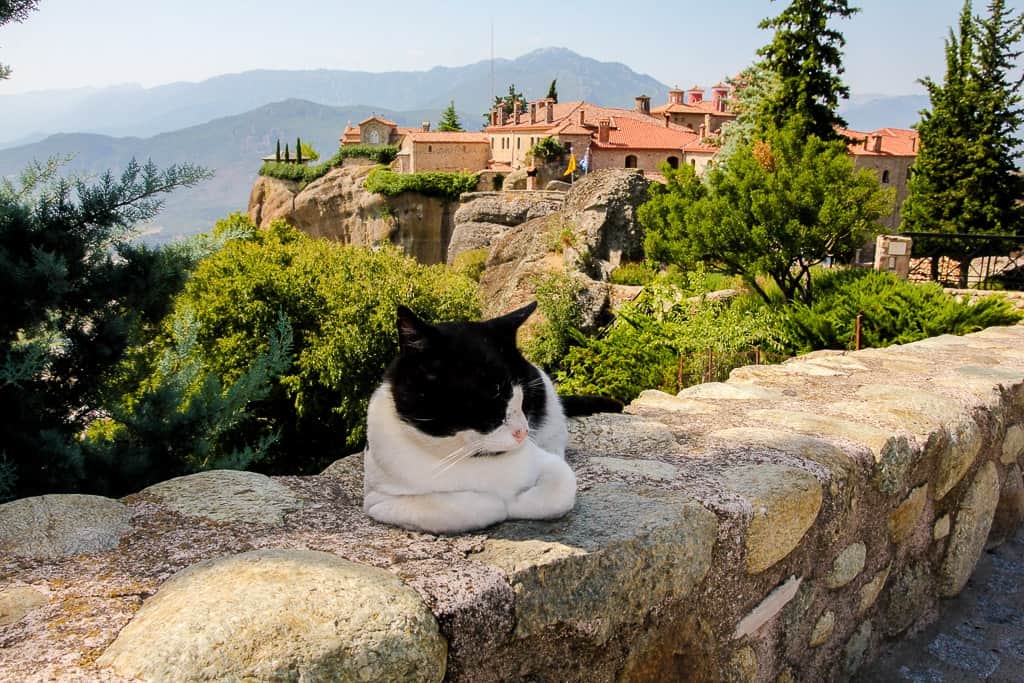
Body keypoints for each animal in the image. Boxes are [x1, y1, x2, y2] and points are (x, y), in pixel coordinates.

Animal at [364, 303, 610, 532]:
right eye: (492, 399)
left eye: (525, 399)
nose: (523, 432)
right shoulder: (377, 500)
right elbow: (456, 508)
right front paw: (496, 504)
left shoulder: (549, 463)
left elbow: (561, 488)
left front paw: (516, 503)